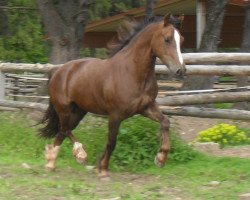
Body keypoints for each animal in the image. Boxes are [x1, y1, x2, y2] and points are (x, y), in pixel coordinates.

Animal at [39, 14, 186, 179]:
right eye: (167, 39)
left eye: (181, 39)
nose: (181, 70)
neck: (132, 72)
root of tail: (57, 71)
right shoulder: (115, 115)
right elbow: (111, 142)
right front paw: (102, 168)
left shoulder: (146, 107)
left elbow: (165, 122)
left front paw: (161, 159)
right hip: (64, 109)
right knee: (64, 129)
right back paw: (76, 155)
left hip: (79, 111)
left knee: (63, 131)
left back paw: (54, 161)